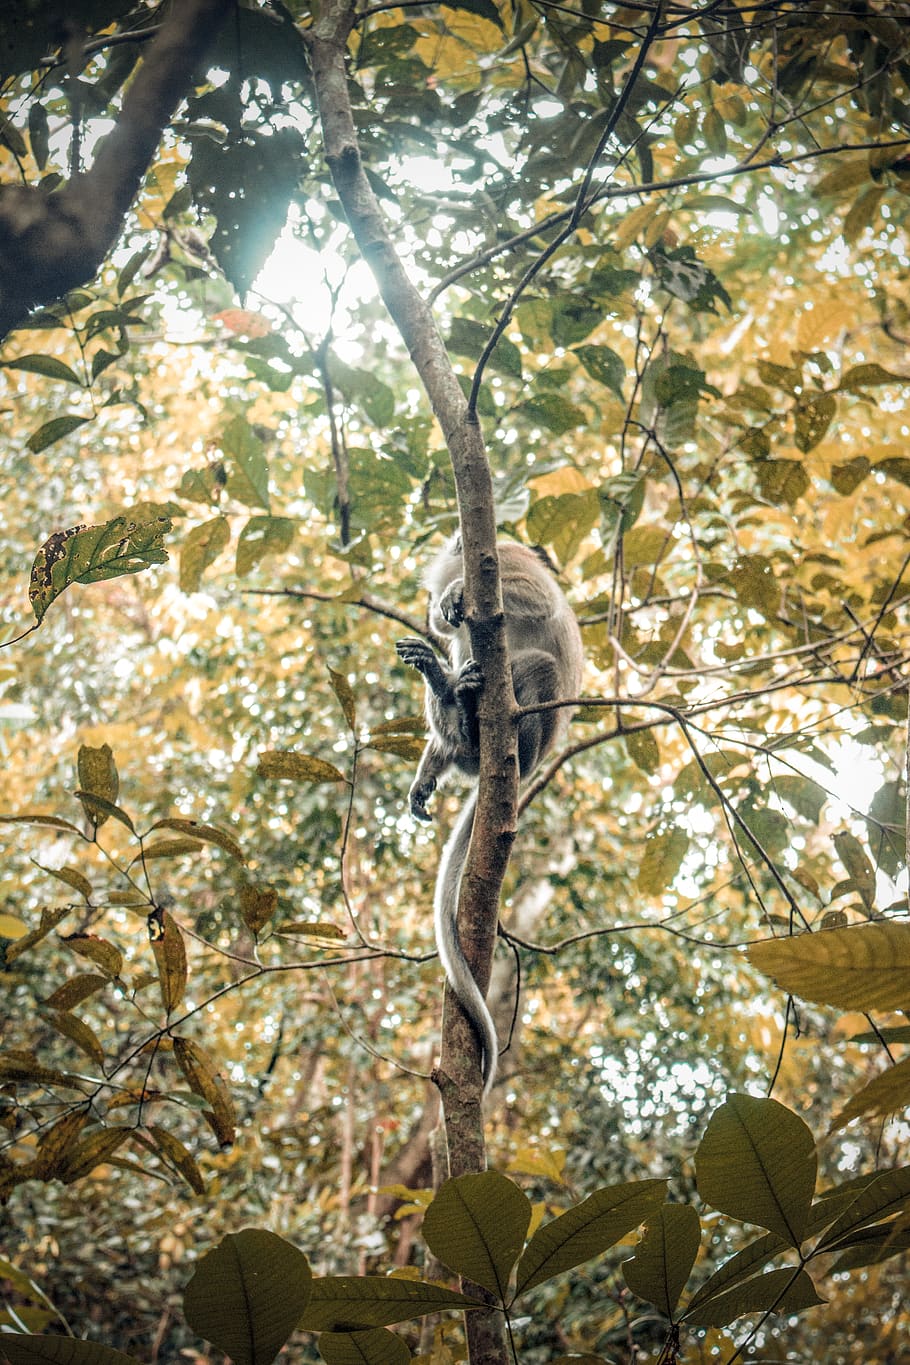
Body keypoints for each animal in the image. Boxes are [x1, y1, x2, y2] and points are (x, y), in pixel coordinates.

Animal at [396, 534, 583, 1096]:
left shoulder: (507, 559)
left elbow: (538, 600)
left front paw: (457, 590)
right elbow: (448, 630)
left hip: (533, 731)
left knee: (538, 665)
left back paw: (468, 706)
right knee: (464, 658)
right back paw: (450, 697)